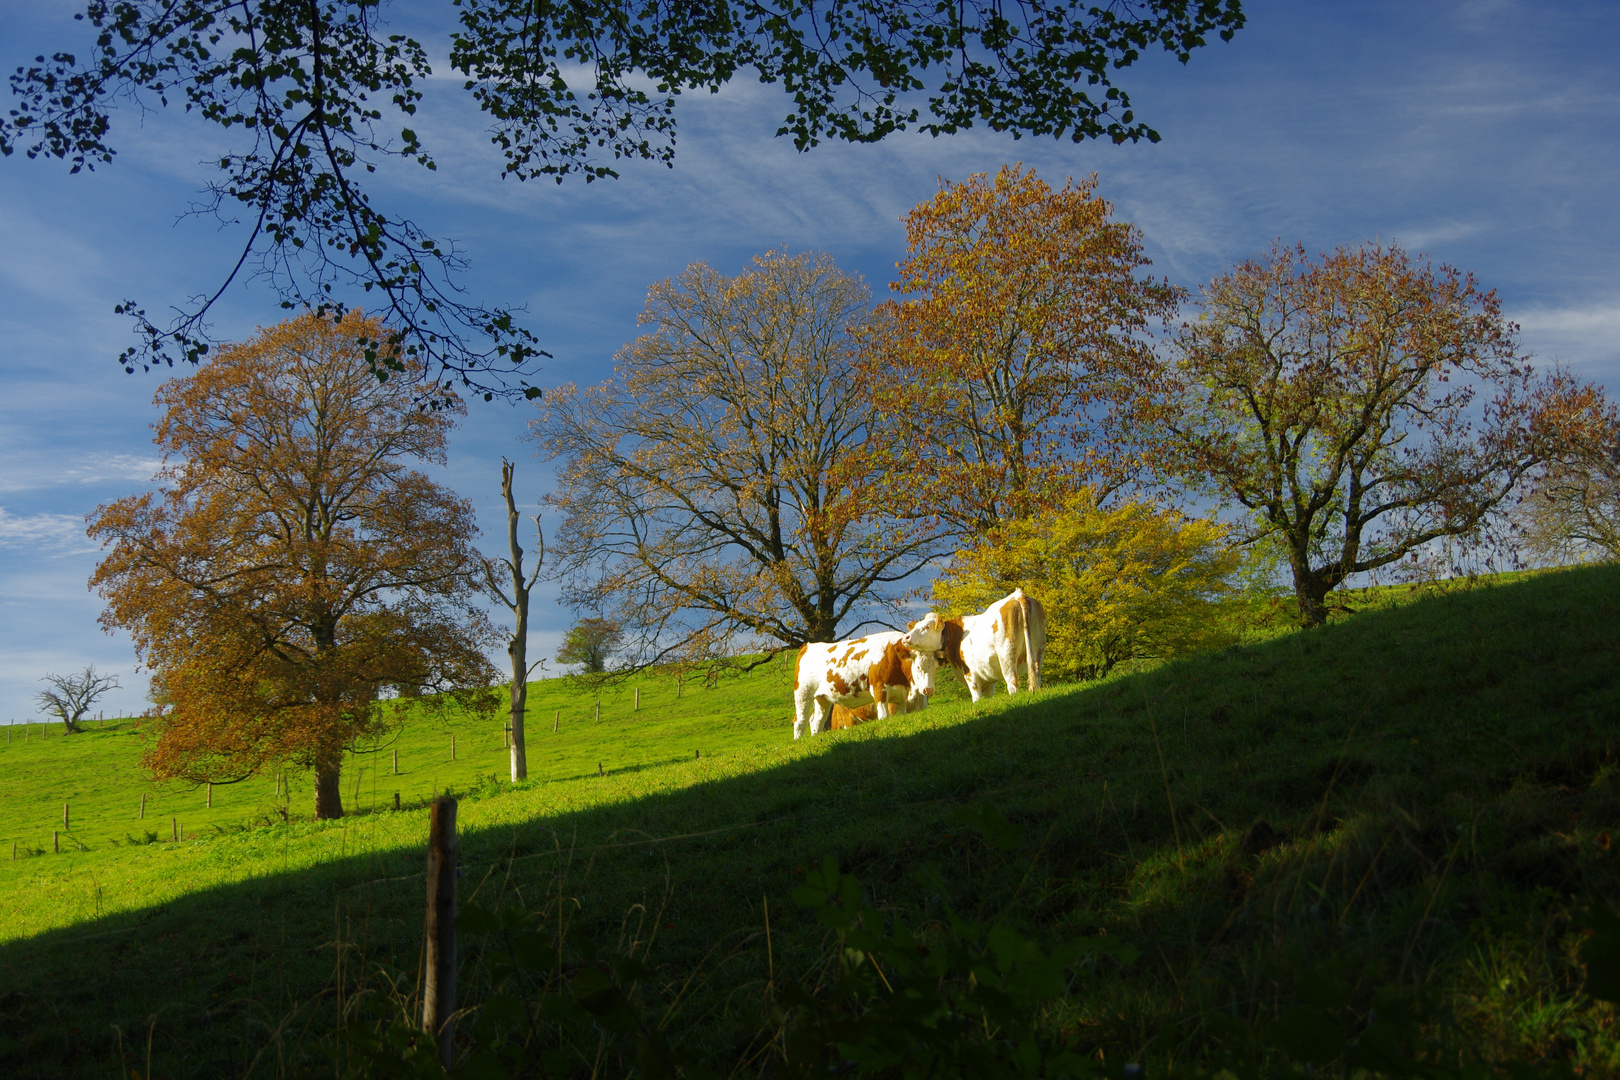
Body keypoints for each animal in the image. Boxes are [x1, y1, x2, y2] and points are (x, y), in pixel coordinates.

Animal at [793, 628, 946, 738]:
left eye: (936, 668)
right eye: (918, 667)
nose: (928, 690)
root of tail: (807, 646)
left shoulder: (900, 698)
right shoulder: (879, 689)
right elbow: (884, 717)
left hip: (822, 698)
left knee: (816, 721)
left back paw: (816, 738)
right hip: (803, 694)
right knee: (800, 720)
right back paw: (799, 740)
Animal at [900, 592, 1049, 702]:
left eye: (927, 627)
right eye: (916, 626)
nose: (905, 637)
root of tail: (1018, 595)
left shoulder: (971, 674)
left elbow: (976, 697)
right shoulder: (989, 679)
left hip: (1006, 655)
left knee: (1012, 682)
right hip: (1038, 647)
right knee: (1036, 674)